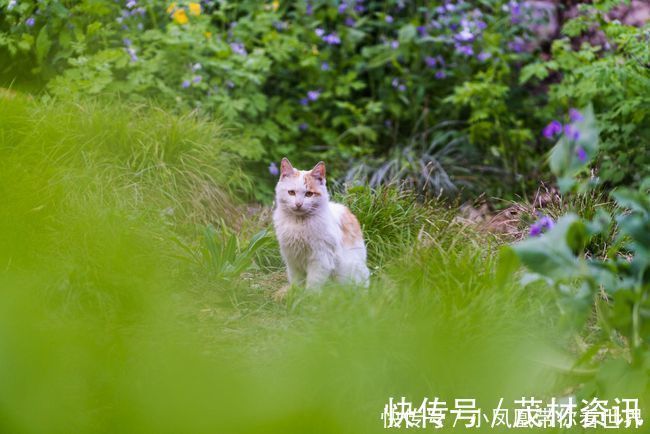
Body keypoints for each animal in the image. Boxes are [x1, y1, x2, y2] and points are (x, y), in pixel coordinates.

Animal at [270, 158, 368, 294]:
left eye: (309, 194)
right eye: (291, 192)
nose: (298, 204)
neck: (299, 223)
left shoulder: (320, 259)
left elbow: (313, 284)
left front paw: (308, 297)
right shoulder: (293, 260)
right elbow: (297, 283)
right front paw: (295, 295)